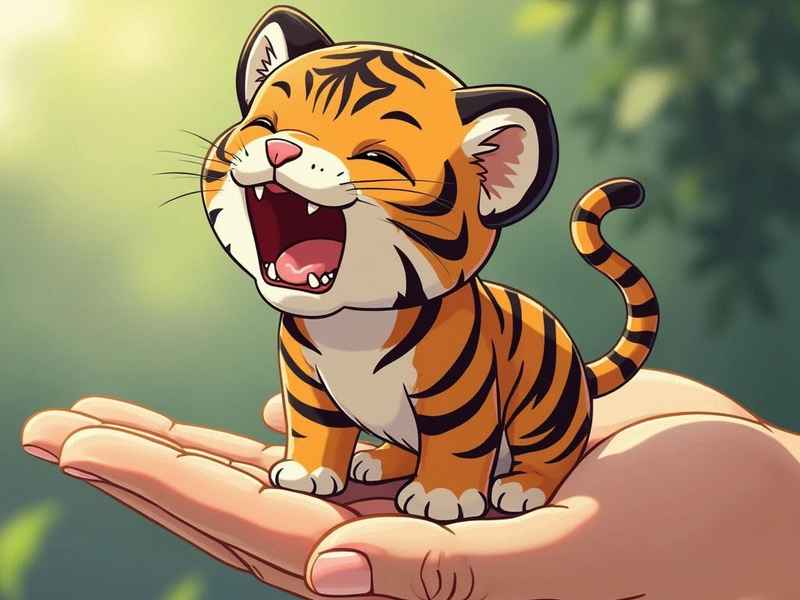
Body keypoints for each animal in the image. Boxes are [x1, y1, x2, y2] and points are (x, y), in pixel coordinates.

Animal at [198, 6, 659, 522]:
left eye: (375, 157)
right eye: (265, 124)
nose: (281, 148)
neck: (351, 324)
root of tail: (579, 362)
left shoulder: (460, 394)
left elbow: (457, 442)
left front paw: (442, 499)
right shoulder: (306, 382)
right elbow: (315, 424)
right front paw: (307, 475)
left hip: (546, 415)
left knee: (551, 455)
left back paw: (522, 487)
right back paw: (378, 461)